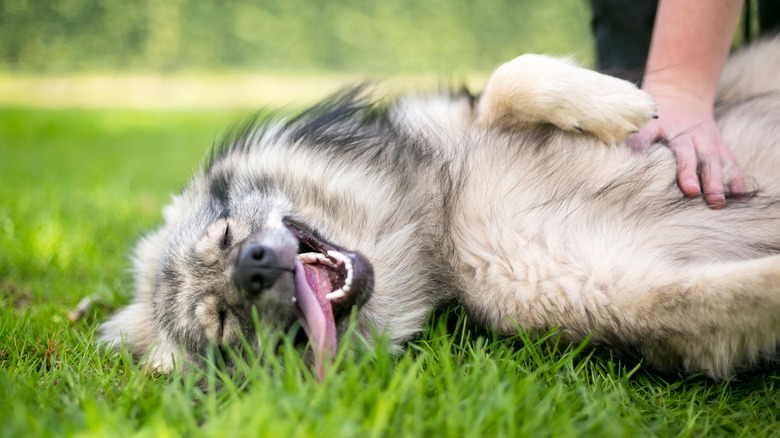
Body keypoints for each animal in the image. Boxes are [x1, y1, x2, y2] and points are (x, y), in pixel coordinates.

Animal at [100, 38, 780, 380]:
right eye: (223, 322)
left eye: (223, 234)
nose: (255, 265)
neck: (435, 219)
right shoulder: (626, 291)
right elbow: (732, 295)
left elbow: (510, 77)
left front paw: (618, 102)